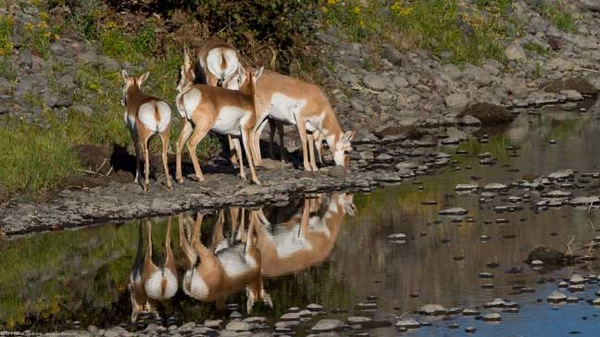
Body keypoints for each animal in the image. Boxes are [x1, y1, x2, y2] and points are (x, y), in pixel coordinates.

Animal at [176, 47, 264, 184]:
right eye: (238, 79)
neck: (246, 98)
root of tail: (187, 93)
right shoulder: (246, 132)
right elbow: (248, 154)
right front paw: (256, 180)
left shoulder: (234, 134)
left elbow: (239, 152)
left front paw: (243, 176)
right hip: (202, 128)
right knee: (191, 144)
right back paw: (200, 176)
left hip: (188, 125)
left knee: (179, 144)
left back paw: (179, 177)